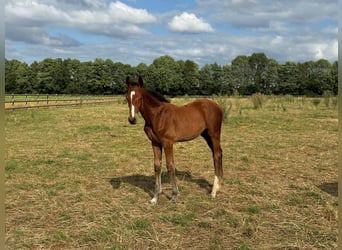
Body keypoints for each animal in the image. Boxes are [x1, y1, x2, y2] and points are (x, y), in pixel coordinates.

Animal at [125, 75, 224, 203]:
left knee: (216, 154)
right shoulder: (155, 143)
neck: (157, 116)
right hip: (206, 135)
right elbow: (157, 166)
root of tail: (217, 105)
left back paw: (214, 191)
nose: (132, 119)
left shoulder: (168, 143)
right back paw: (219, 185)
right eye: (127, 97)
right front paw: (155, 196)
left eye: (140, 97)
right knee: (218, 153)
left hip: (214, 134)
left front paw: (174, 195)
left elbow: (170, 166)